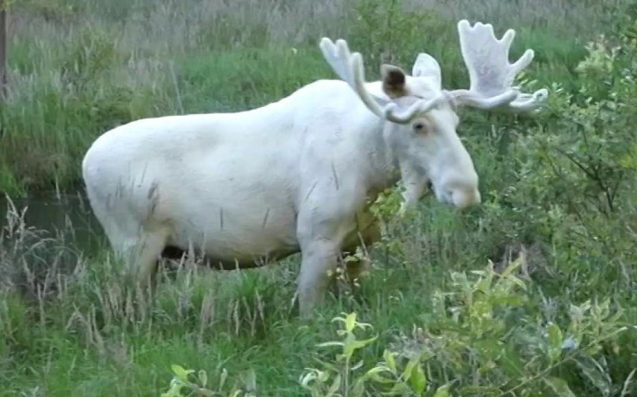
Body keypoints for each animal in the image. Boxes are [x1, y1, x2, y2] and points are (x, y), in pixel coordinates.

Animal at [80, 20, 548, 316]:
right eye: (418, 124)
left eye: (456, 121)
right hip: (133, 244)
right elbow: (308, 312)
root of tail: (85, 162)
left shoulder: (360, 243)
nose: (465, 190)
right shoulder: (316, 235)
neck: (375, 172)